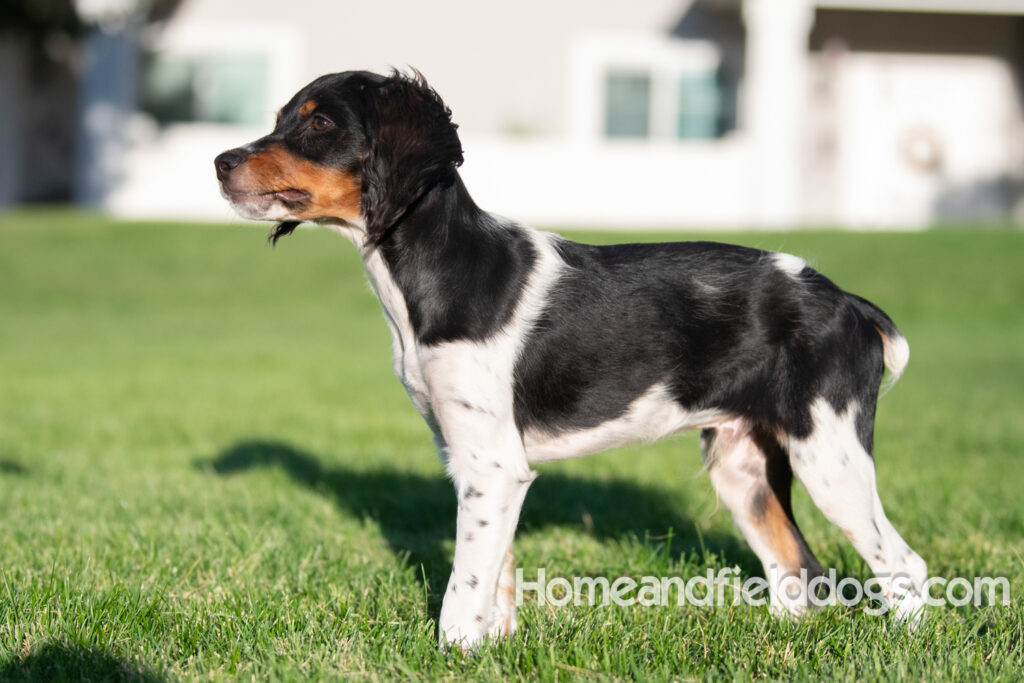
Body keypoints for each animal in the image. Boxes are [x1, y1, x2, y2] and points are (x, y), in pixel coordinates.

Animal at [216, 70, 929, 651]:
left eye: (320, 123)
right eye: (280, 116)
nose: (220, 161)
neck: (441, 272)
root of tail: (846, 300)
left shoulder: (492, 464)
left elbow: (462, 586)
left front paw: (452, 653)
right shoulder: (478, 458)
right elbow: (494, 576)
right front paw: (493, 651)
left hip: (830, 454)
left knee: (903, 567)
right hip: (743, 465)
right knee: (796, 573)